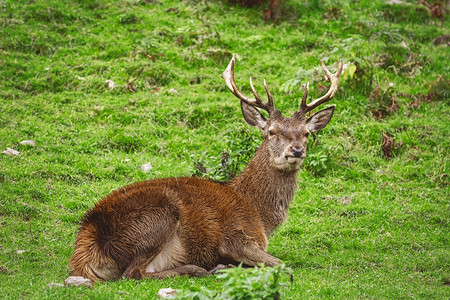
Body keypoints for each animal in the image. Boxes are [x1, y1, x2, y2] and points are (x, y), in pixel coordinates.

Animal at [68, 53, 342, 282]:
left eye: (306, 133)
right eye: (271, 131)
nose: (296, 150)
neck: (260, 213)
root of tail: (86, 242)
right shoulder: (237, 236)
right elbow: (283, 264)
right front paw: (223, 266)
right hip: (158, 217)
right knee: (132, 273)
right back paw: (200, 269)